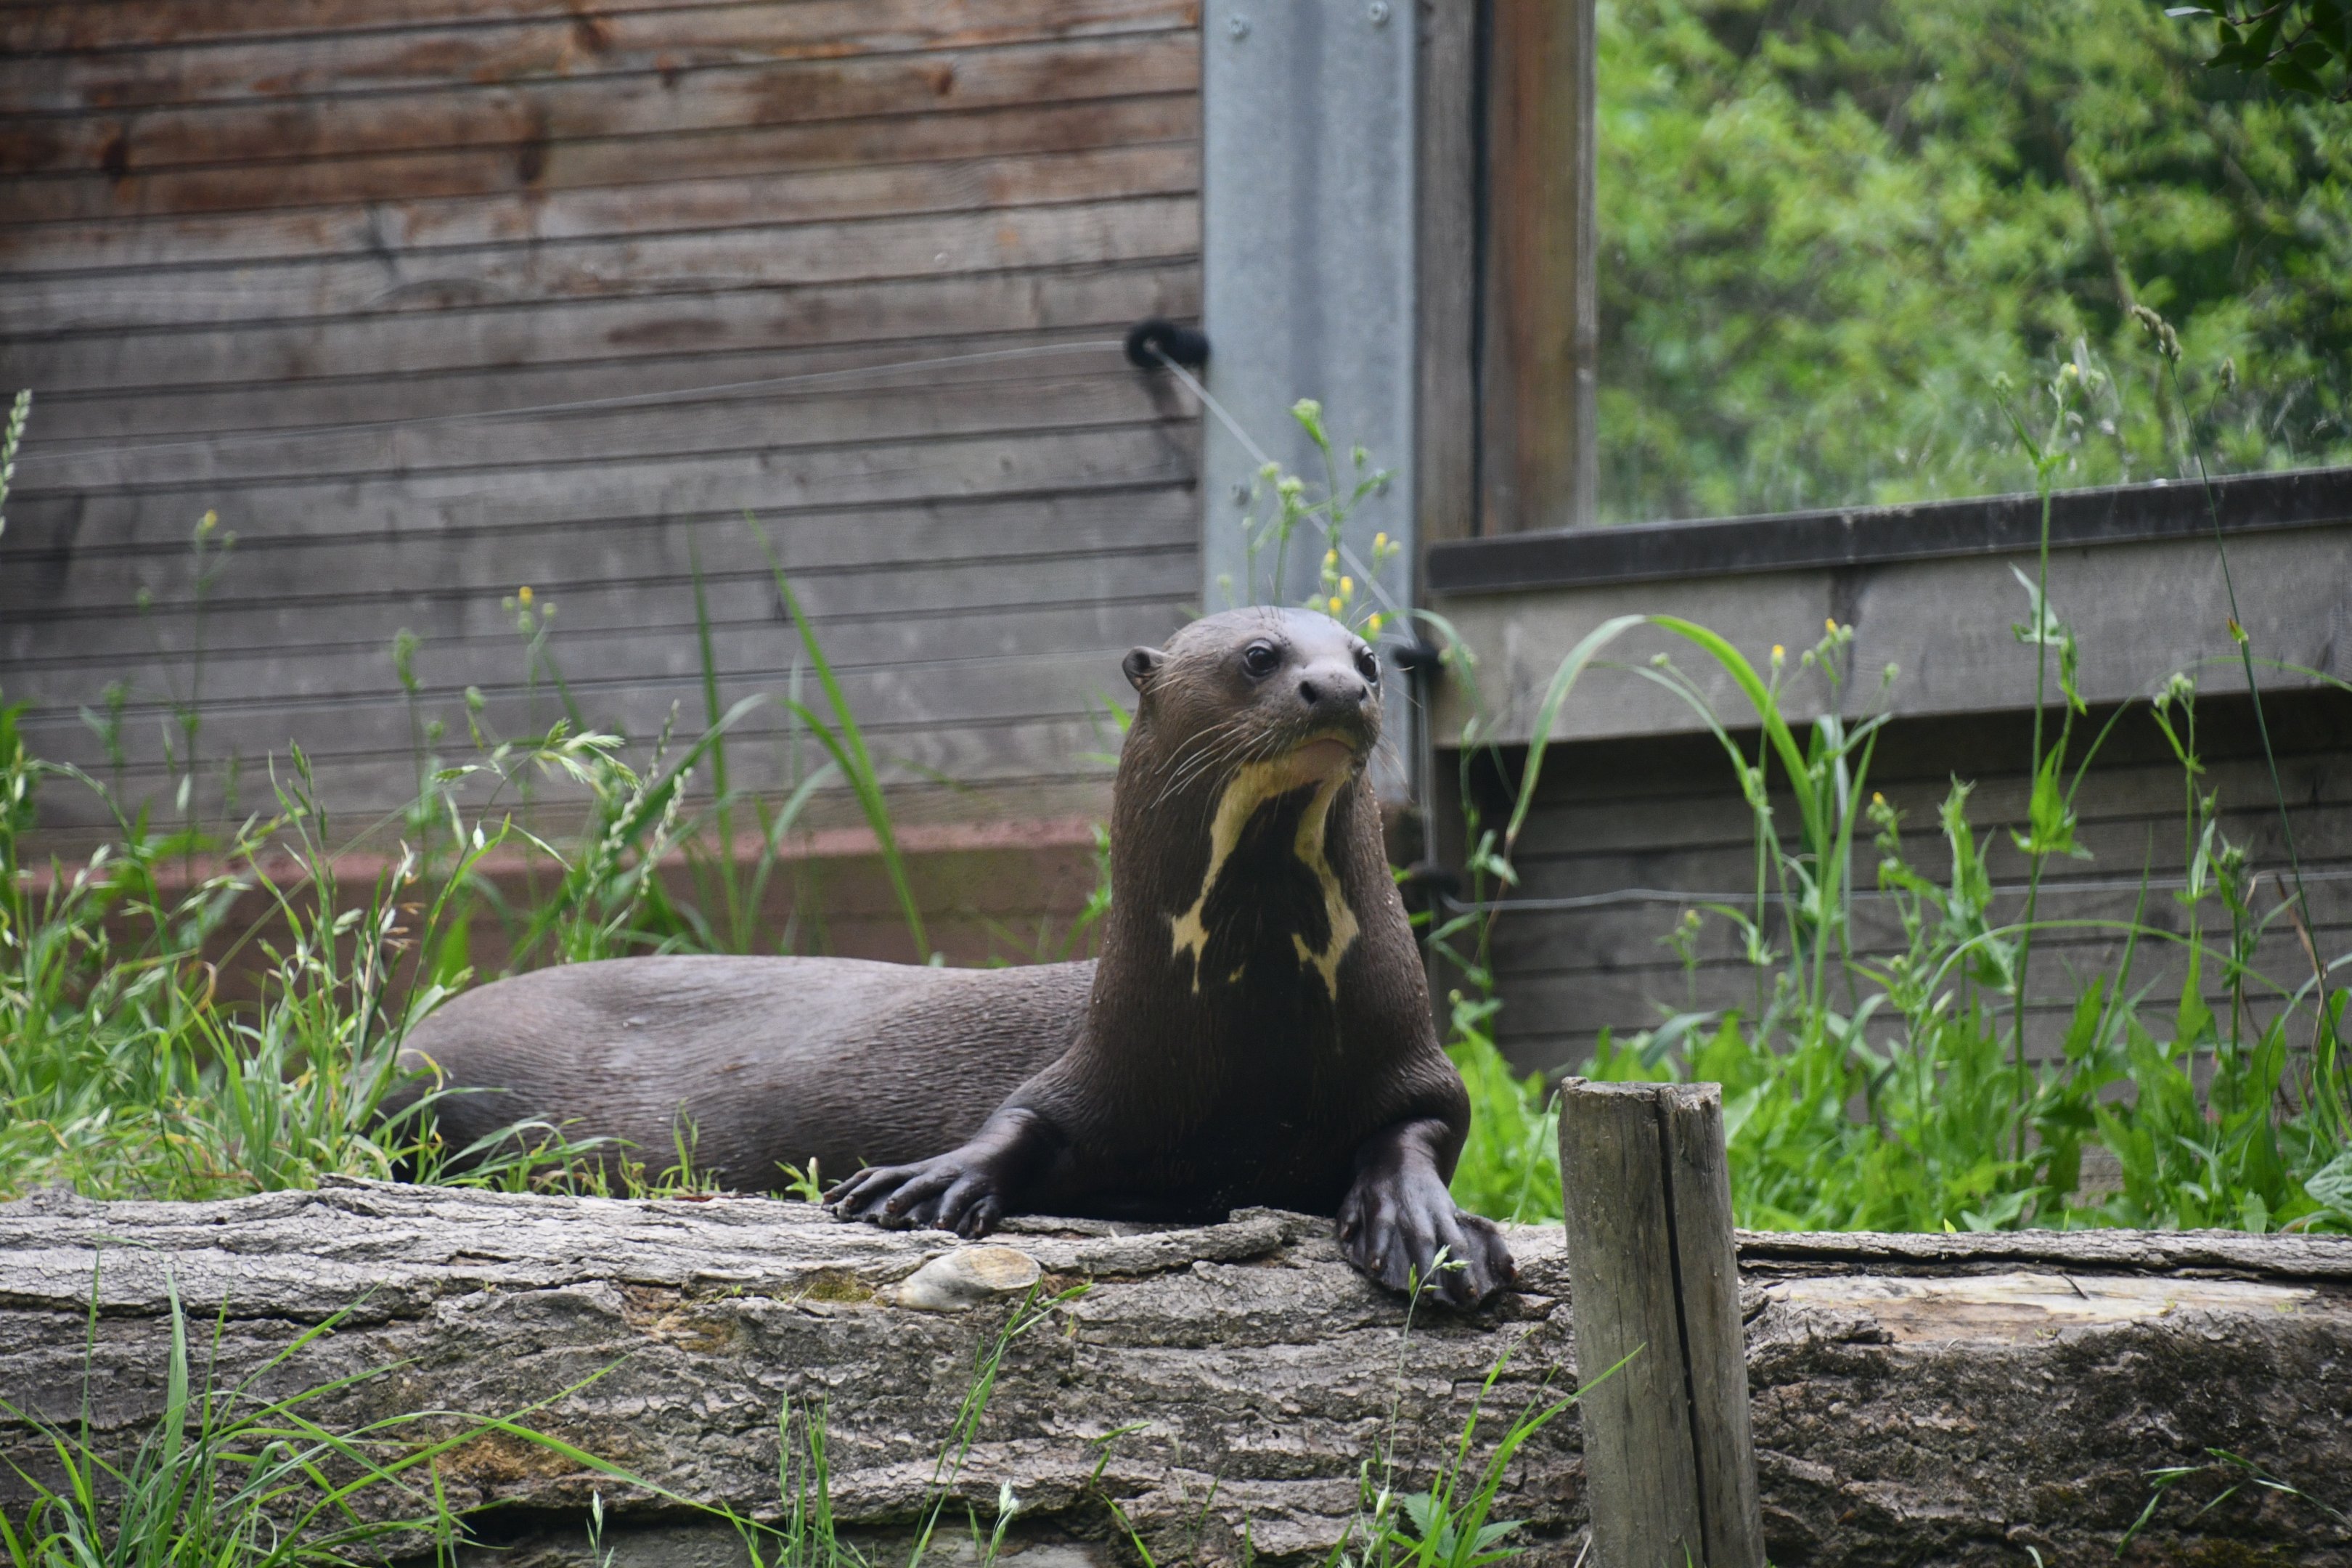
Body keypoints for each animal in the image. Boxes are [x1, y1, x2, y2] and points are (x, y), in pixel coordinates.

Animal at [396, 609, 1512, 1306]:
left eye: (1368, 657)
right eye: (1261, 654)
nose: (1338, 690)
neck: (1258, 1025)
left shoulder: (1408, 1056)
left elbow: (1419, 1129)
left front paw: (1431, 1232)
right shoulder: (1107, 1055)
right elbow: (1025, 1120)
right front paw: (923, 1184)